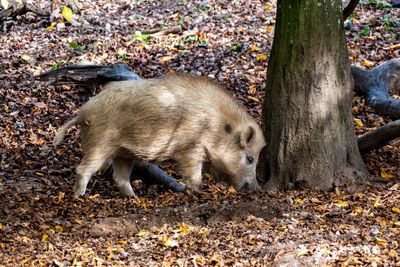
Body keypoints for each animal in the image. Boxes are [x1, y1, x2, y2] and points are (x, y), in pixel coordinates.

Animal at [53, 73, 266, 197]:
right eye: (250, 158)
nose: (257, 188)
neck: (214, 126)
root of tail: (83, 112)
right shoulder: (190, 149)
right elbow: (193, 173)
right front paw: (198, 191)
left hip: (123, 153)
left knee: (120, 177)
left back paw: (134, 198)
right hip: (99, 143)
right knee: (83, 169)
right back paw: (80, 196)